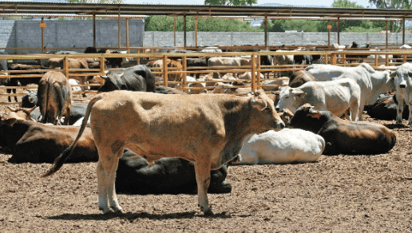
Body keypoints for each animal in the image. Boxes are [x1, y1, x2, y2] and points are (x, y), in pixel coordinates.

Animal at [43, 88, 284, 215]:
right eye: (265, 108)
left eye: (274, 107)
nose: (281, 123)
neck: (224, 115)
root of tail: (106, 95)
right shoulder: (203, 156)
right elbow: (203, 181)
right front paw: (206, 207)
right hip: (108, 147)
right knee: (103, 172)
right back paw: (105, 207)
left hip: (116, 148)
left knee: (111, 174)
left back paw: (116, 206)